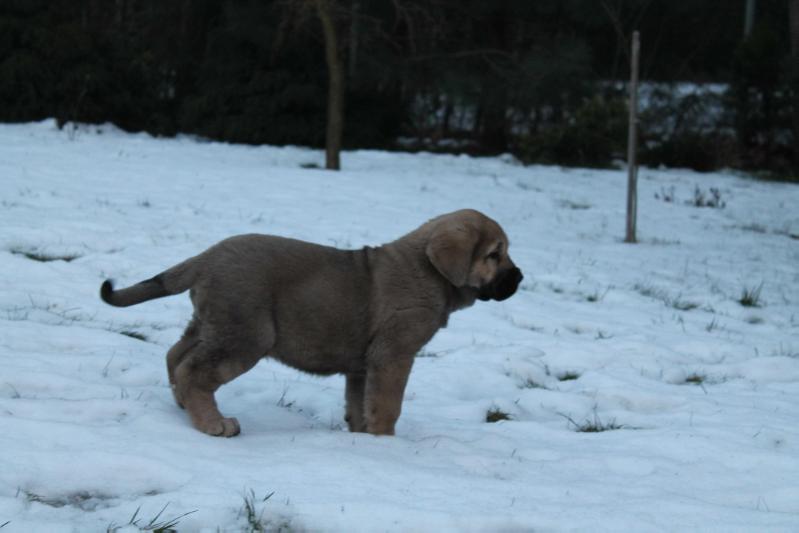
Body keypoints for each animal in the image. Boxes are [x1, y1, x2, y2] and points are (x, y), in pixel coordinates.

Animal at [101, 208, 524, 436]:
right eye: (495, 254)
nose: (519, 278)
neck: (429, 271)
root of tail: (205, 258)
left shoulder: (362, 366)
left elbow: (361, 404)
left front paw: (362, 436)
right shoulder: (394, 356)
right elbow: (388, 405)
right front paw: (386, 441)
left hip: (213, 324)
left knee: (176, 355)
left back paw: (183, 404)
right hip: (245, 335)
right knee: (193, 370)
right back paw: (213, 422)